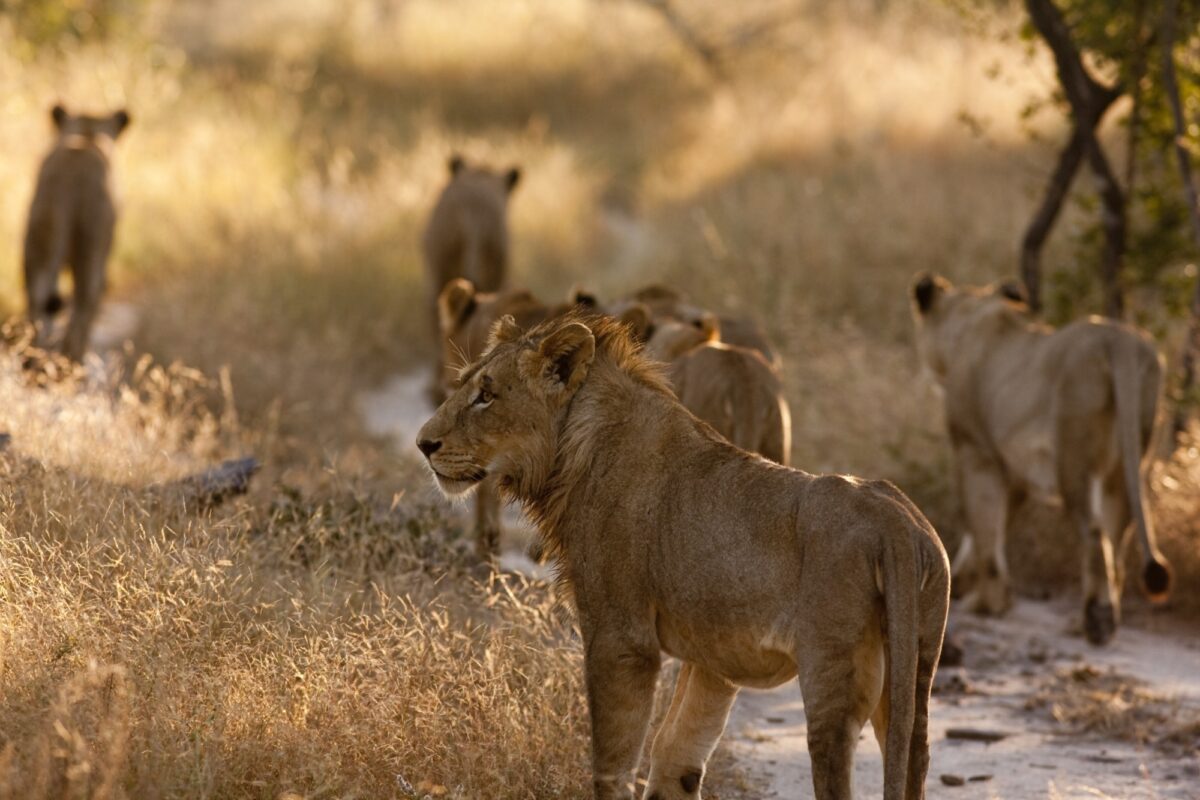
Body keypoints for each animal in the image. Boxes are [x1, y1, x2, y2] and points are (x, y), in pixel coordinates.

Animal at [23, 104, 131, 361]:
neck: (87, 135)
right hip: (90, 250)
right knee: (82, 309)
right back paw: (71, 362)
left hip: (39, 243)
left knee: (38, 307)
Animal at [416, 312, 949, 800]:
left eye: (487, 394)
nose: (423, 444)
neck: (573, 451)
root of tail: (894, 521)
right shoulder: (715, 657)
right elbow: (676, 755)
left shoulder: (620, 637)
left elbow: (613, 763)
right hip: (914, 665)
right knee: (913, 752)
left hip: (832, 673)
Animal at [911, 274, 1171, 645]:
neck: (972, 316)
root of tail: (1120, 340)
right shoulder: (1014, 471)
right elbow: (993, 528)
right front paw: (965, 584)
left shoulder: (976, 451)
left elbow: (983, 523)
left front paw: (987, 603)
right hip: (1127, 460)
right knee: (1117, 533)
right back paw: (1093, 618)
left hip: (1073, 456)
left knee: (1094, 532)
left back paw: (1097, 620)